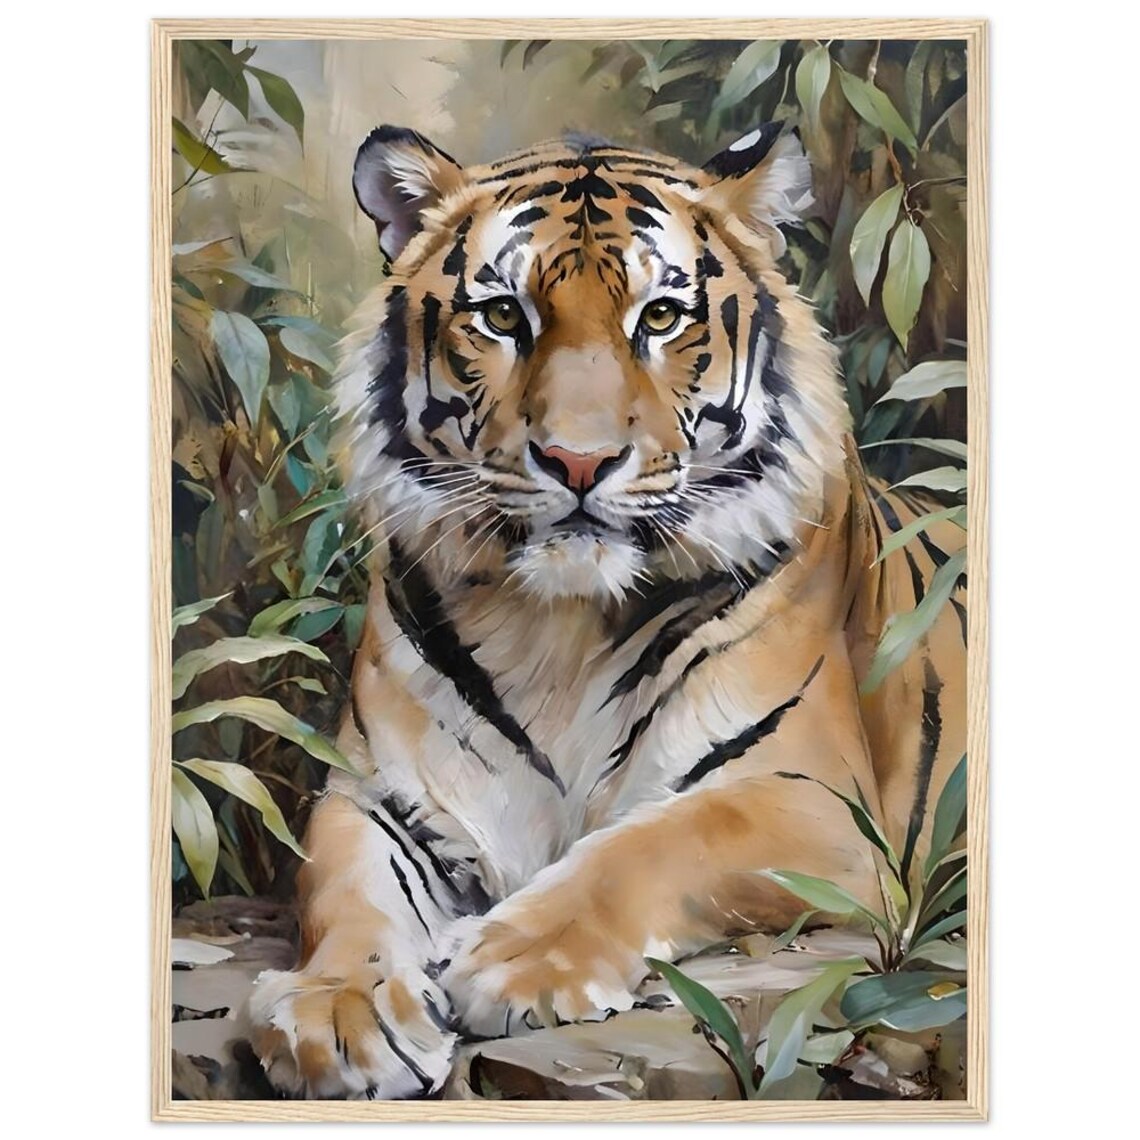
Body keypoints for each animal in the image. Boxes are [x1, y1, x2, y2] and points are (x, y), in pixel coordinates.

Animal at [247, 123, 967, 1100]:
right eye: (503, 316)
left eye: (659, 319)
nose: (578, 462)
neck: (559, 629)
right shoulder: (377, 795)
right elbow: (344, 890)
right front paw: (339, 1012)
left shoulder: (815, 805)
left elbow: (656, 845)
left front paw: (509, 959)